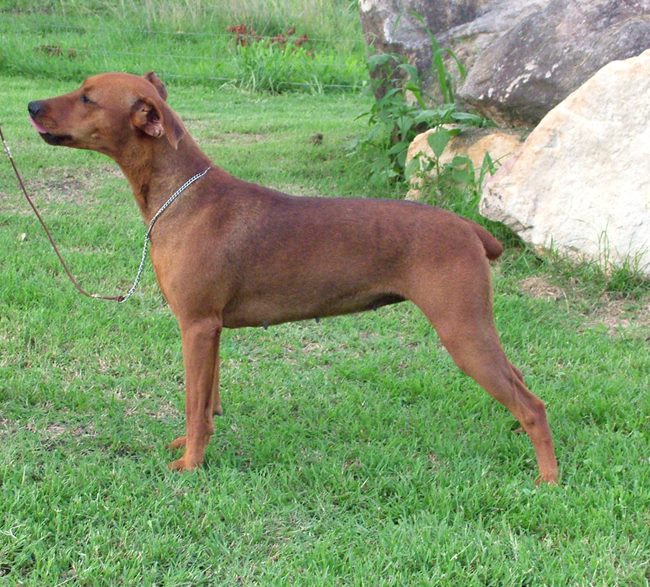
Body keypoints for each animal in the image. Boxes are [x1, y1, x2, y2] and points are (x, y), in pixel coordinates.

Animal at [26, 72, 556, 482]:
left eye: (87, 97)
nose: (30, 105)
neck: (181, 193)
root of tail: (467, 226)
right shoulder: (212, 331)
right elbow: (207, 403)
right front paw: (193, 443)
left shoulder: (195, 326)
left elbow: (194, 404)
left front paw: (190, 465)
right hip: (474, 328)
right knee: (520, 383)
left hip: (461, 330)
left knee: (533, 404)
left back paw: (547, 478)